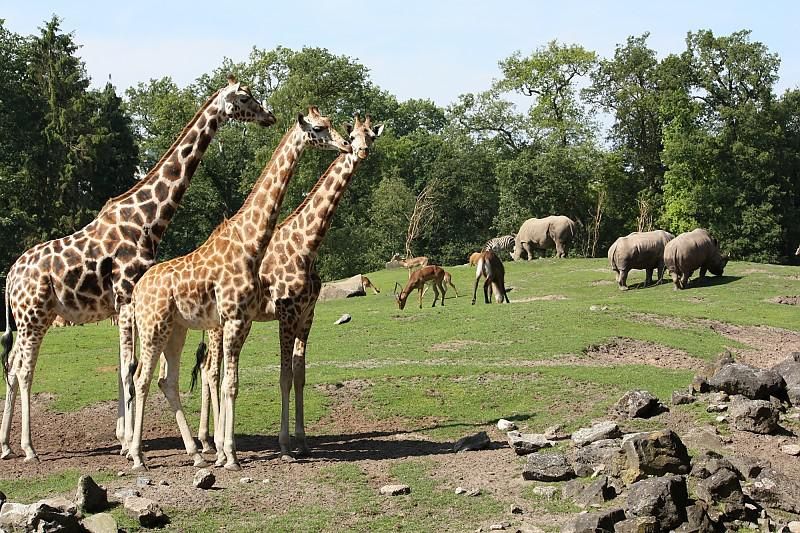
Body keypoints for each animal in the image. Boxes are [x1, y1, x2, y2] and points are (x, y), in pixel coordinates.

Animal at [0, 76, 276, 462]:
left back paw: (6, 445)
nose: (269, 117)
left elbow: (123, 367)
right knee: (24, 370)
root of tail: (10, 277)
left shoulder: (123, 303)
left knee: (12, 367)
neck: (146, 218)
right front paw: (131, 444)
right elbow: (130, 368)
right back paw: (29, 448)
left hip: (32, 318)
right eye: (245, 98)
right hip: (33, 316)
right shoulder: (127, 294)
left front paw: (124, 439)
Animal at [126, 108, 348, 470]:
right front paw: (229, 454)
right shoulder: (237, 319)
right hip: (153, 327)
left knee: (166, 380)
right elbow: (231, 383)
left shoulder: (243, 321)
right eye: (318, 128)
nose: (346, 145)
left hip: (176, 329)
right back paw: (138, 456)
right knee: (142, 379)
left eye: (333, 124)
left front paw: (226, 451)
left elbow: (234, 383)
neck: (250, 243)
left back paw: (195, 453)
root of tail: (136, 291)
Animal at [194, 114, 382, 460]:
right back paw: (212, 443)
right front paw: (284, 445)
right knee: (211, 371)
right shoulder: (287, 312)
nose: (360, 151)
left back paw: (211, 441)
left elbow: (300, 374)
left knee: (209, 370)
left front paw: (303, 440)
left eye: (371, 136)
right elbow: (282, 376)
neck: (307, 244)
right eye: (352, 134)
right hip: (217, 325)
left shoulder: (308, 314)